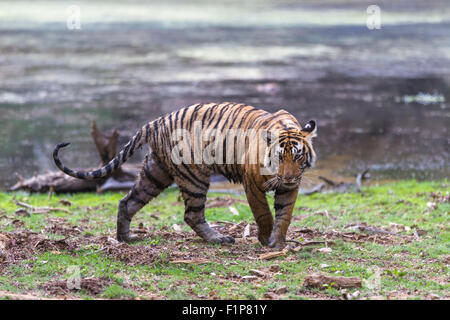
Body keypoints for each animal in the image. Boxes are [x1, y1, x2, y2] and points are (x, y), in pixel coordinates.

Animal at [52, 101, 316, 249]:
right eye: (279, 158)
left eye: (298, 157)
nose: (289, 177)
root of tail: (157, 121)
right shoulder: (252, 184)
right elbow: (264, 214)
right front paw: (265, 240)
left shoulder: (290, 188)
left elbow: (284, 216)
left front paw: (278, 242)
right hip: (194, 176)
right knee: (192, 214)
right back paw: (218, 239)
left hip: (155, 173)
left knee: (127, 202)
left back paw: (125, 238)